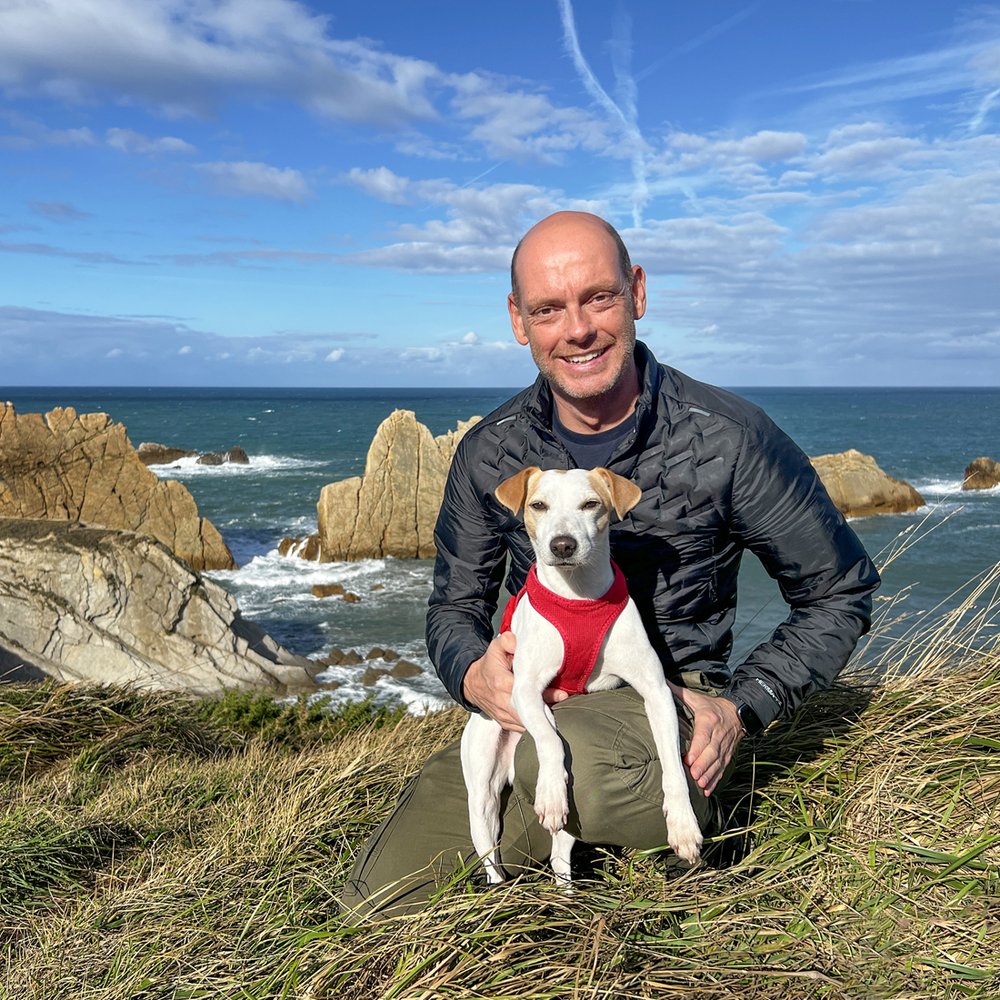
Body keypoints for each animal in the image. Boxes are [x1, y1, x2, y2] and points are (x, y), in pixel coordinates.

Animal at [460, 464, 704, 888]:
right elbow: (549, 739)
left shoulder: (656, 691)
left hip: (568, 827)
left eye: (591, 504)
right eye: (538, 505)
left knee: (561, 853)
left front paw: (683, 825)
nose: (562, 545)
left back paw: (567, 893)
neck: (579, 598)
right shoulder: (523, 689)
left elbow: (673, 763)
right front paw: (551, 791)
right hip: (482, 797)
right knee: (492, 857)